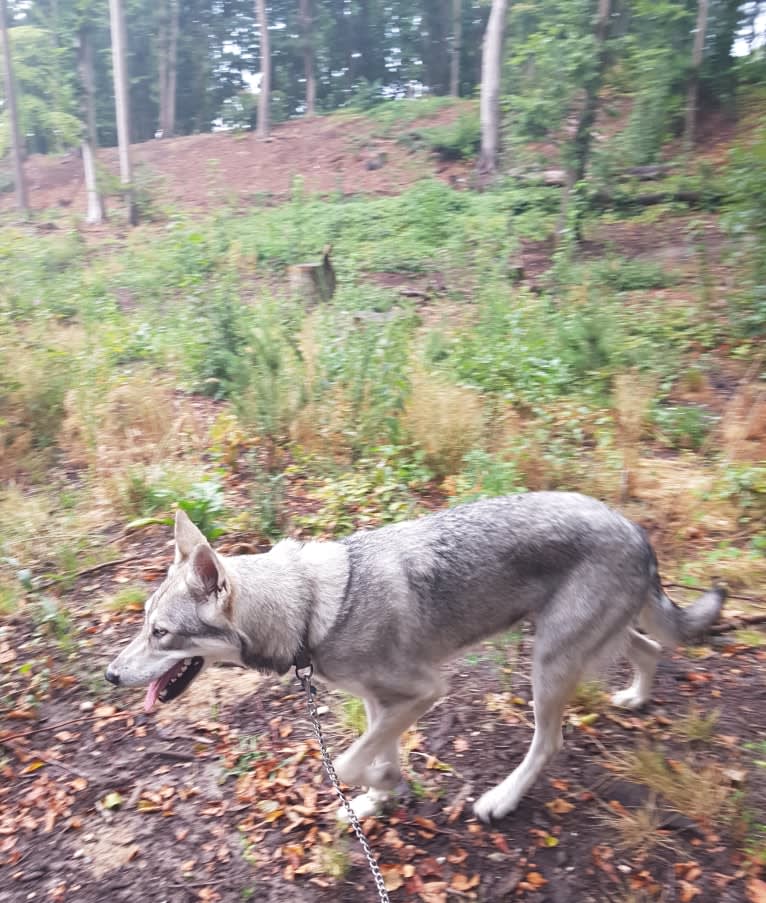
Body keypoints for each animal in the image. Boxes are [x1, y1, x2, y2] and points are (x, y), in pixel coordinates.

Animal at [106, 498, 728, 824]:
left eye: (160, 633)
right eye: (143, 623)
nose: (110, 674)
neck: (307, 609)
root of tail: (637, 531)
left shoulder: (427, 690)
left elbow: (349, 762)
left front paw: (376, 791)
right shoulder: (379, 702)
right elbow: (376, 755)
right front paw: (381, 796)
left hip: (549, 664)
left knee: (548, 742)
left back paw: (501, 800)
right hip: (586, 642)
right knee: (652, 648)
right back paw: (637, 697)